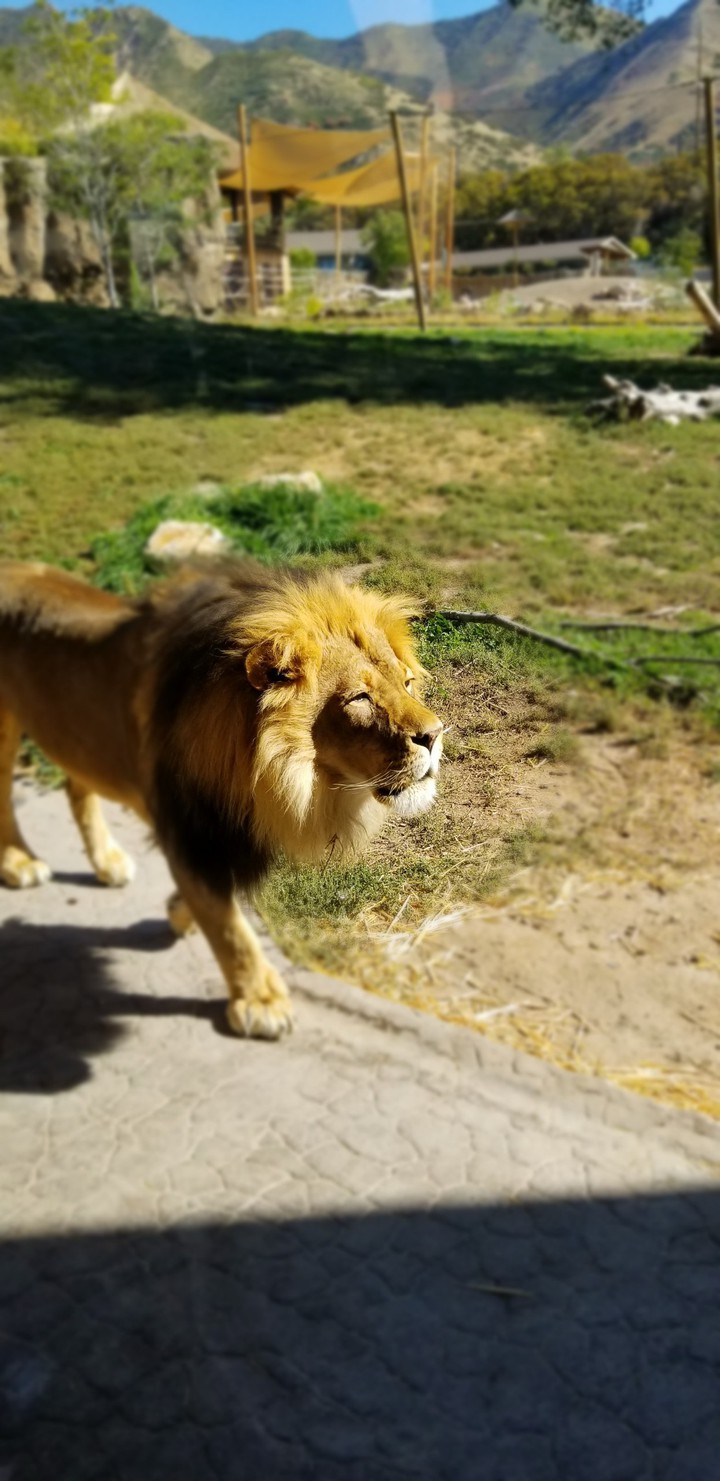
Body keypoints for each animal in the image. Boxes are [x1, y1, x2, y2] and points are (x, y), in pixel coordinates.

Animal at [0, 559, 443, 1038]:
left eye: (407, 683)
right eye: (360, 698)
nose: (436, 735)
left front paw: (177, 912)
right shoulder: (190, 829)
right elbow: (227, 923)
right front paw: (260, 1000)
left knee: (76, 784)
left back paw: (106, 861)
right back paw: (19, 862)